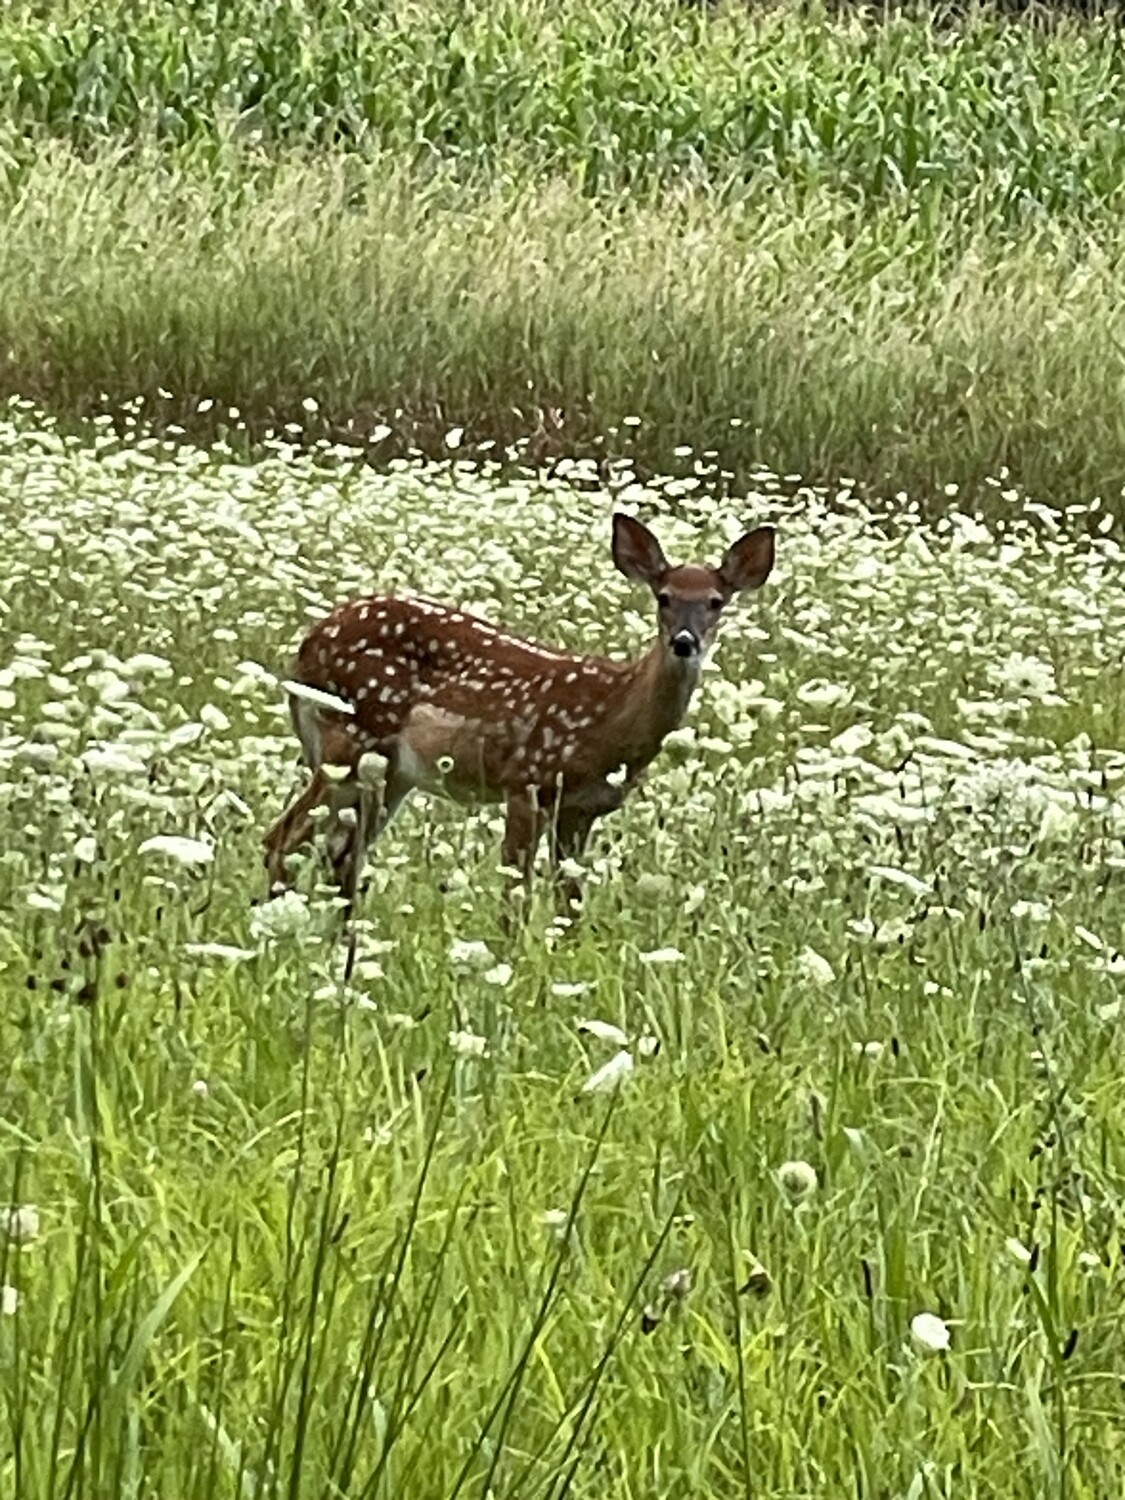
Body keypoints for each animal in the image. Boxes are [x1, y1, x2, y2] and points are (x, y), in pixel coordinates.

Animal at [263, 513, 775, 916]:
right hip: (349, 740)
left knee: (341, 853)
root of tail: (306, 646)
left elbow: (570, 902)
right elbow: (516, 894)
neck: (610, 717)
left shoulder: (582, 810)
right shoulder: (527, 780)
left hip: (389, 773)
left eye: (715, 602)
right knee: (284, 839)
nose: (684, 642)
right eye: (663, 596)